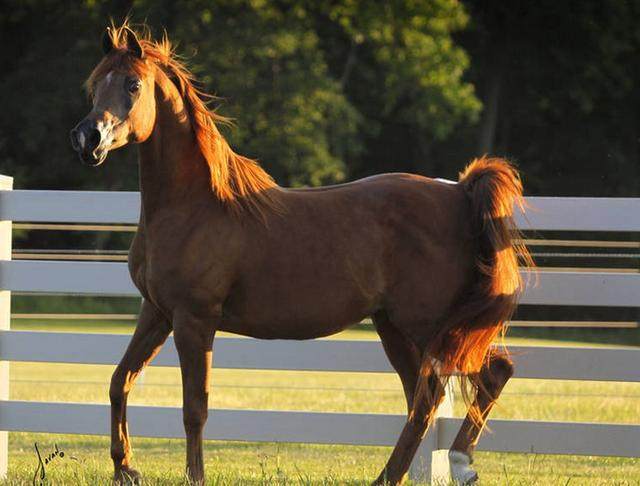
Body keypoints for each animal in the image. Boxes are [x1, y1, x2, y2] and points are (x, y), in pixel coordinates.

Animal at [69, 24, 528, 484]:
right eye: (95, 84)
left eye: (133, 84)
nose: (88, 138)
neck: (195, 205)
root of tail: (459, 192)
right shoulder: (157, 312)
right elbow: (120, 380)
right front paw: (124, 468)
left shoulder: (194, 319)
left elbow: (194, 407)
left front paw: (193, 476)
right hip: (396, 328)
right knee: (426, 399)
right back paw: (392, 476)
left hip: (430, 324)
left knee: (483, 376)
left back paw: (460, 461)